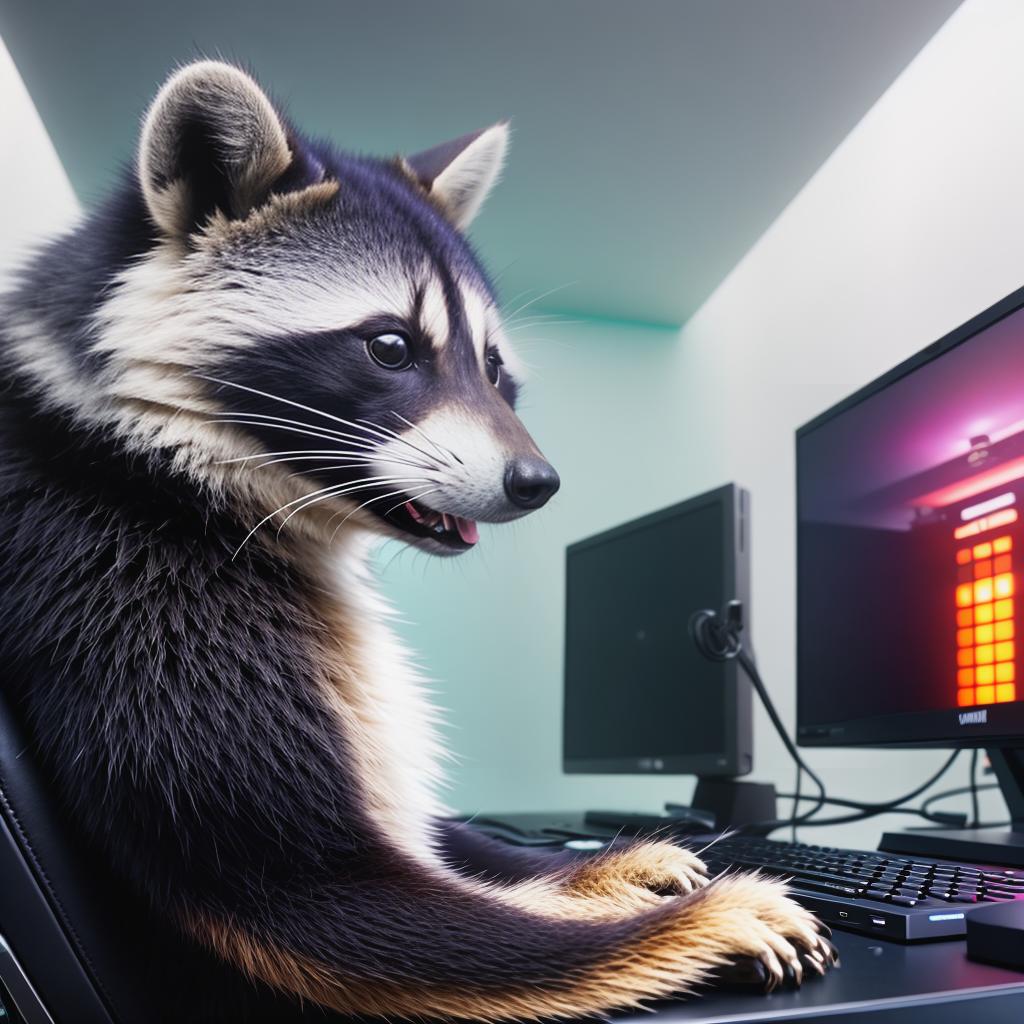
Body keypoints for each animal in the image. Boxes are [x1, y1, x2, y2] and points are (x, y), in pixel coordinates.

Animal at [0, 59, 831, 1019]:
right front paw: (688, 920)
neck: (178, 472)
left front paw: (584, 866)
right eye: (391, 347)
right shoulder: (128, 591)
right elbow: (345, 906)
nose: (538, 483)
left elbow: (441, 837)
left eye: (495, 369)